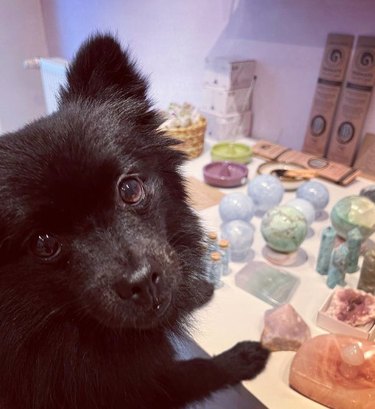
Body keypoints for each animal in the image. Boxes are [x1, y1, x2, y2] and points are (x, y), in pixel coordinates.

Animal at [0, 33, 270, 406]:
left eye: (129, 189)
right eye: (44, 243)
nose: (142, 281)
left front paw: (196, 288)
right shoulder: (143, 384)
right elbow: (198, 369)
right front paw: (239, 358)